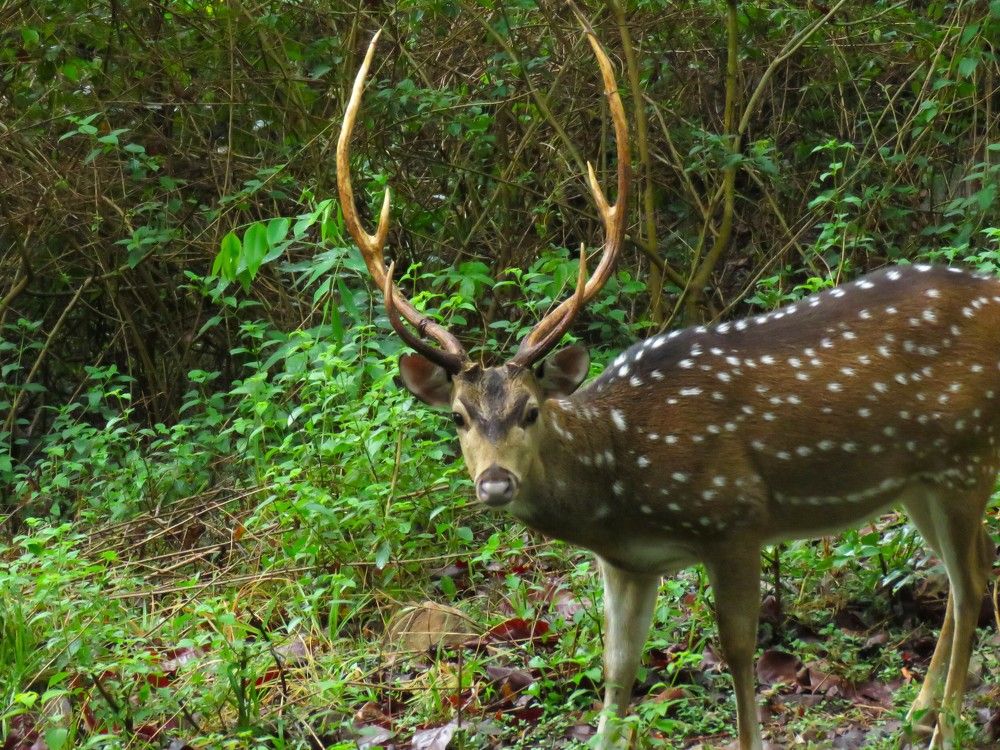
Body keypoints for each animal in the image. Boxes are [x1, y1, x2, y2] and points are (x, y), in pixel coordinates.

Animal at [337, 29, 997, 750]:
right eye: (457, 417)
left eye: (531, 411)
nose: (495, 484)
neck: (620, 478)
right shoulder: (628, 563)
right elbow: (618, 670)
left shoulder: (735, 516)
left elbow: (738, 650)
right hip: (919, 481)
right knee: (966, 576)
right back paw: (920, 711)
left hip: (965, 457)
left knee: (970, 587)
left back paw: (945, 726)